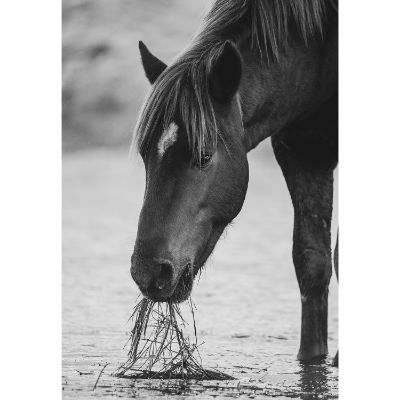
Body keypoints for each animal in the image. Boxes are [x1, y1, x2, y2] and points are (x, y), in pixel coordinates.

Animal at [131, 0, 338, 364]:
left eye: (204, 155)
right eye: (144, 155)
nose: (149, 272)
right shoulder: (304, 151)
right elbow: (312, 262)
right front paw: (312, 360)